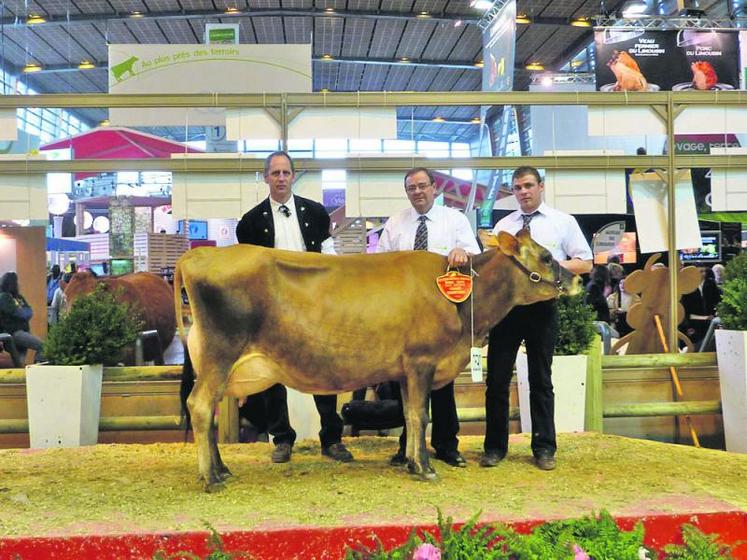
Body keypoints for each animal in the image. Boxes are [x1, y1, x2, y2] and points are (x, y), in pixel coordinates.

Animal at [178, 230, 580, 492]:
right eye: (546, 257)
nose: (577, 278)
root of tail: (199, 254)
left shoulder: (404, 370)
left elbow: (410, 416)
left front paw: (410, 461)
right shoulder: (421, 361)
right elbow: (420, 416)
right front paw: (425, 467)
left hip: (215, 362)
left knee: (208, 411)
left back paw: (222, 470)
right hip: (220, 354)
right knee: (200, 406)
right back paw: (211, 478)